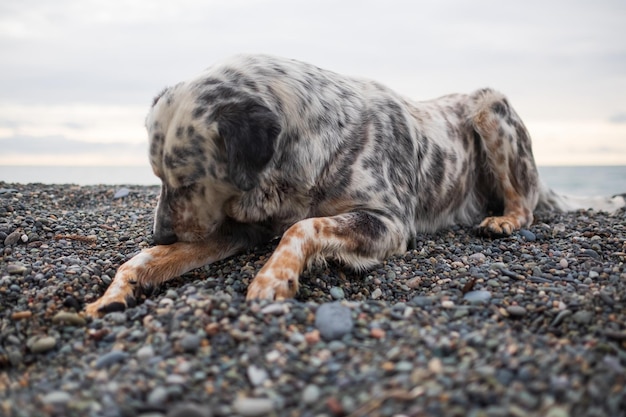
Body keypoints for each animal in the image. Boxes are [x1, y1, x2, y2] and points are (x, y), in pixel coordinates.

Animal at [84, 54, 624, 316]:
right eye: (157, 176)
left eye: (188, 177)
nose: (159, 231)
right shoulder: (238, 225)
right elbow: (154, 259)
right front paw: (121, 285)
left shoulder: (388, 223)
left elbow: (301, 228)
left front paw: (273, 278)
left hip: (490, 106)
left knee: (527, 202)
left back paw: (505, 220)